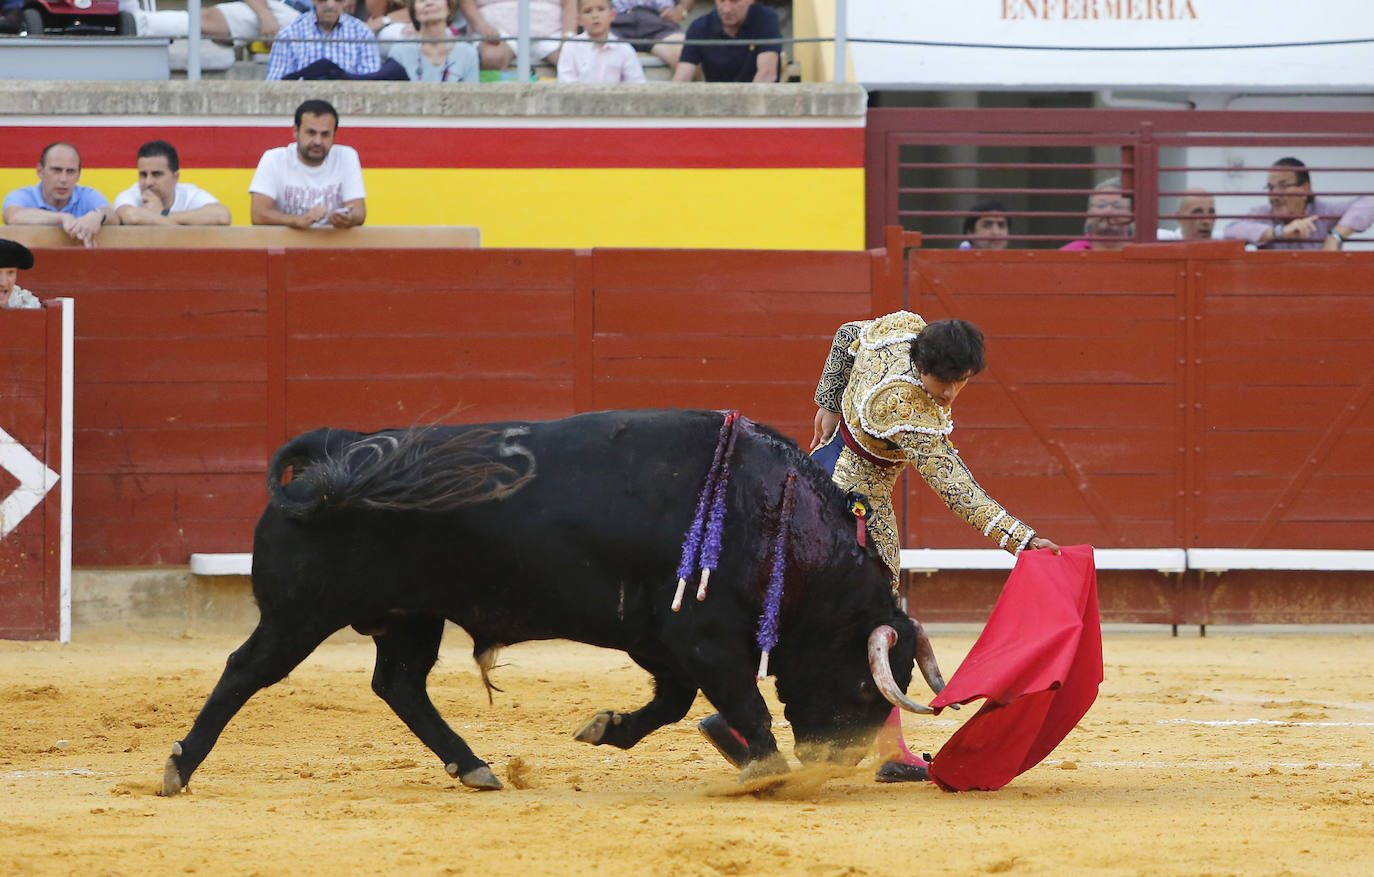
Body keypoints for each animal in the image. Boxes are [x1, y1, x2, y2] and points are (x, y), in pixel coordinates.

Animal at [158, 412, 934, 797]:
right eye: (863, 685)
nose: (837, 763)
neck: (773, 517)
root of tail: (338, 452)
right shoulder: (702, 634)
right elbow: (741, 701)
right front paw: (769, 771)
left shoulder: (662, 639)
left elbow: (674, 702)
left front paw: (605, 729)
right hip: (299, 614)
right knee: (245, 671)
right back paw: (179, 768)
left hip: (413, 614)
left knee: (399, 684)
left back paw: (474, 767)